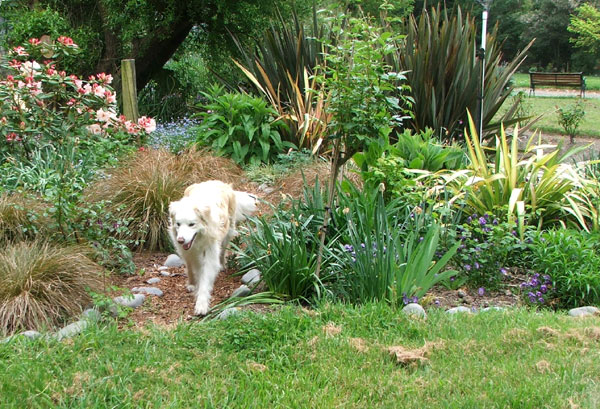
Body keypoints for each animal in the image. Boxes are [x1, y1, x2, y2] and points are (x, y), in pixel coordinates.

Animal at [168, 179, 256, 316]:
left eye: (191, 224)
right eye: (178, 224)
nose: (180, 240)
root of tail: (218, 182)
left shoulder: (210, 253)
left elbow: (205, 279)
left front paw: (201, 305)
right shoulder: (188, 253)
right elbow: (192, 269)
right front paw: (193, 285)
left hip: (227, 233)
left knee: (222, 252)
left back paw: (222, 265)